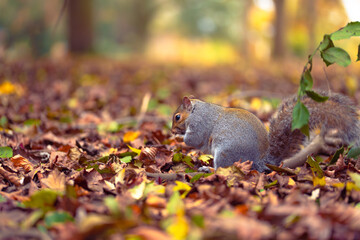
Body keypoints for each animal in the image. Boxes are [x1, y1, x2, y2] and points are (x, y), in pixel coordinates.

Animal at [172, 91, 360, 172]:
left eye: (177, 117)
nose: (172, 130)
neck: (196, 110)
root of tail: (258, 162)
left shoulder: (199, 124)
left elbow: (194, 140)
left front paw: (179, 137)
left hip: (226, 153)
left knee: (222, 170)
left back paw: (208, 170)